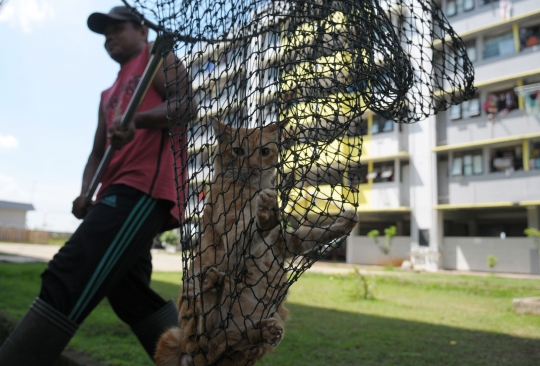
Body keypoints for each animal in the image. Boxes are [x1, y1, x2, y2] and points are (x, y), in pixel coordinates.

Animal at [156, 118, 358, 364]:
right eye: (237, 151)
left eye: (263, 151)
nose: (252, 165)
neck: (253, 189)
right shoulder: (231, 237)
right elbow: (247, 232)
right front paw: (265, 217)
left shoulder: (285, 242)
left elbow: (312, 233)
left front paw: (343, 223)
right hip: (193, 293)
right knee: (207, 338)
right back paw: (213, 289)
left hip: (271, 320)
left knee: (227, 342)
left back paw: (260, 331)